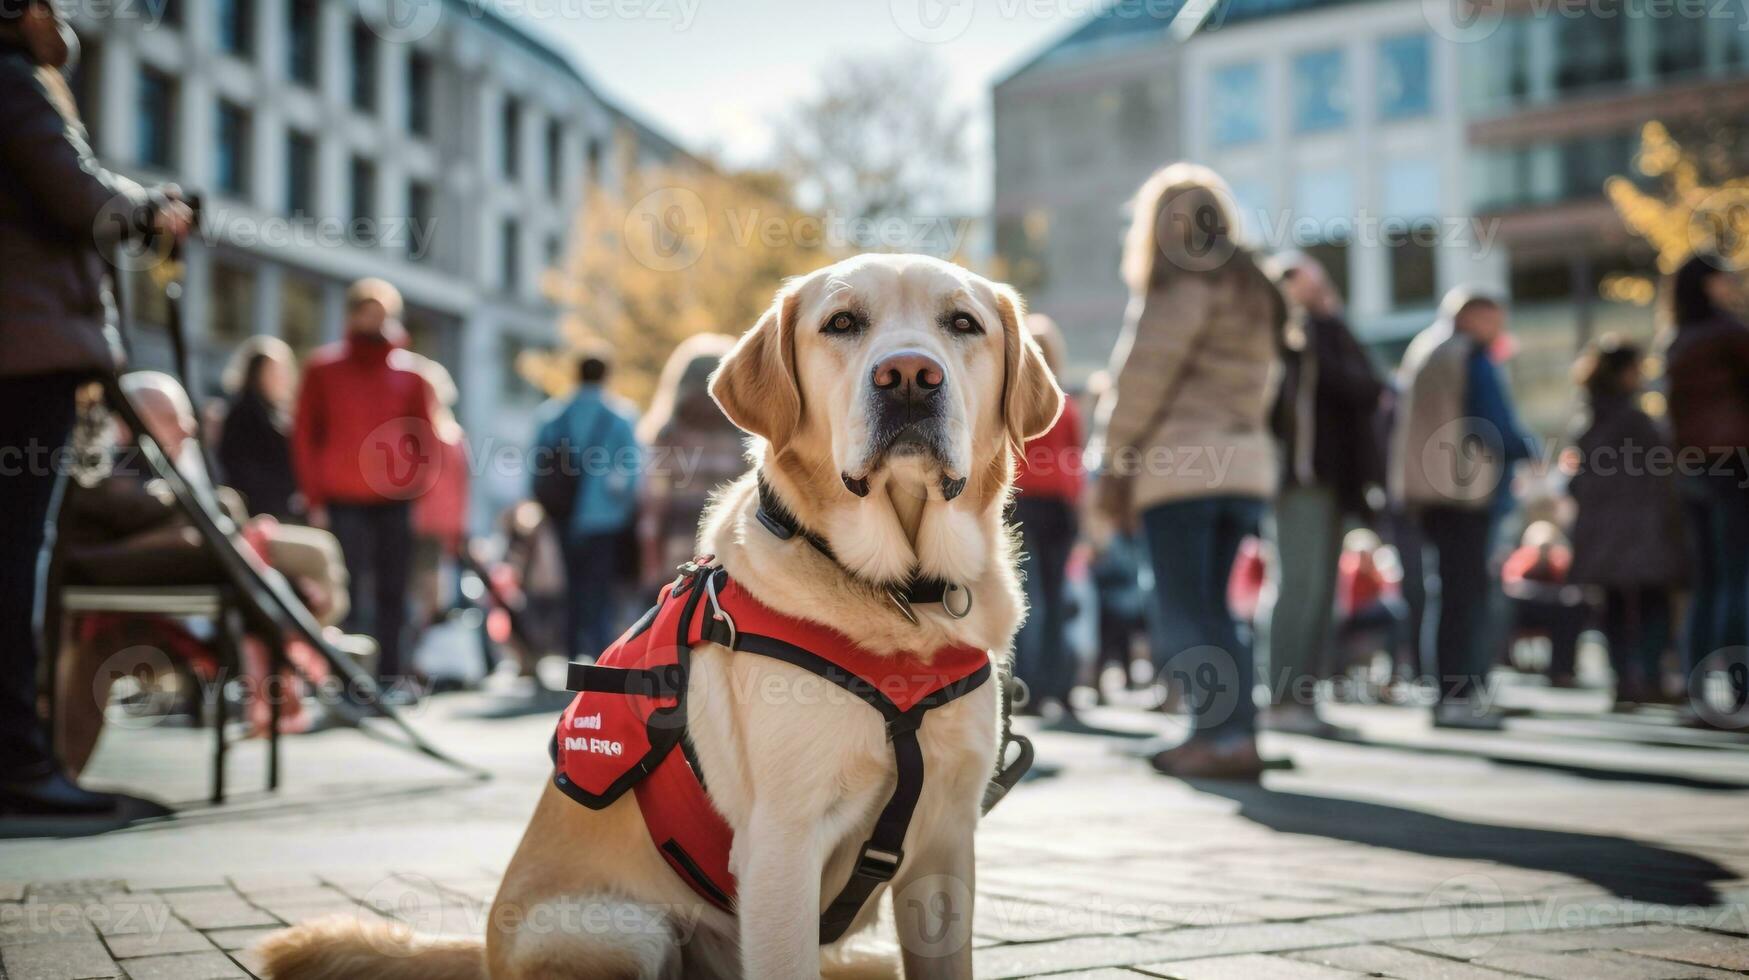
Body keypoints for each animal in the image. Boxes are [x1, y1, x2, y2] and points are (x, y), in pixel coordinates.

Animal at [253, 253, 1056, 980]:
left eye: (962, 324)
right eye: (841, 323)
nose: (910, 376)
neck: (901, 595)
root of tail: (483, 952)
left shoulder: (945, 850)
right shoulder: (781, 845)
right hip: (624, 929)